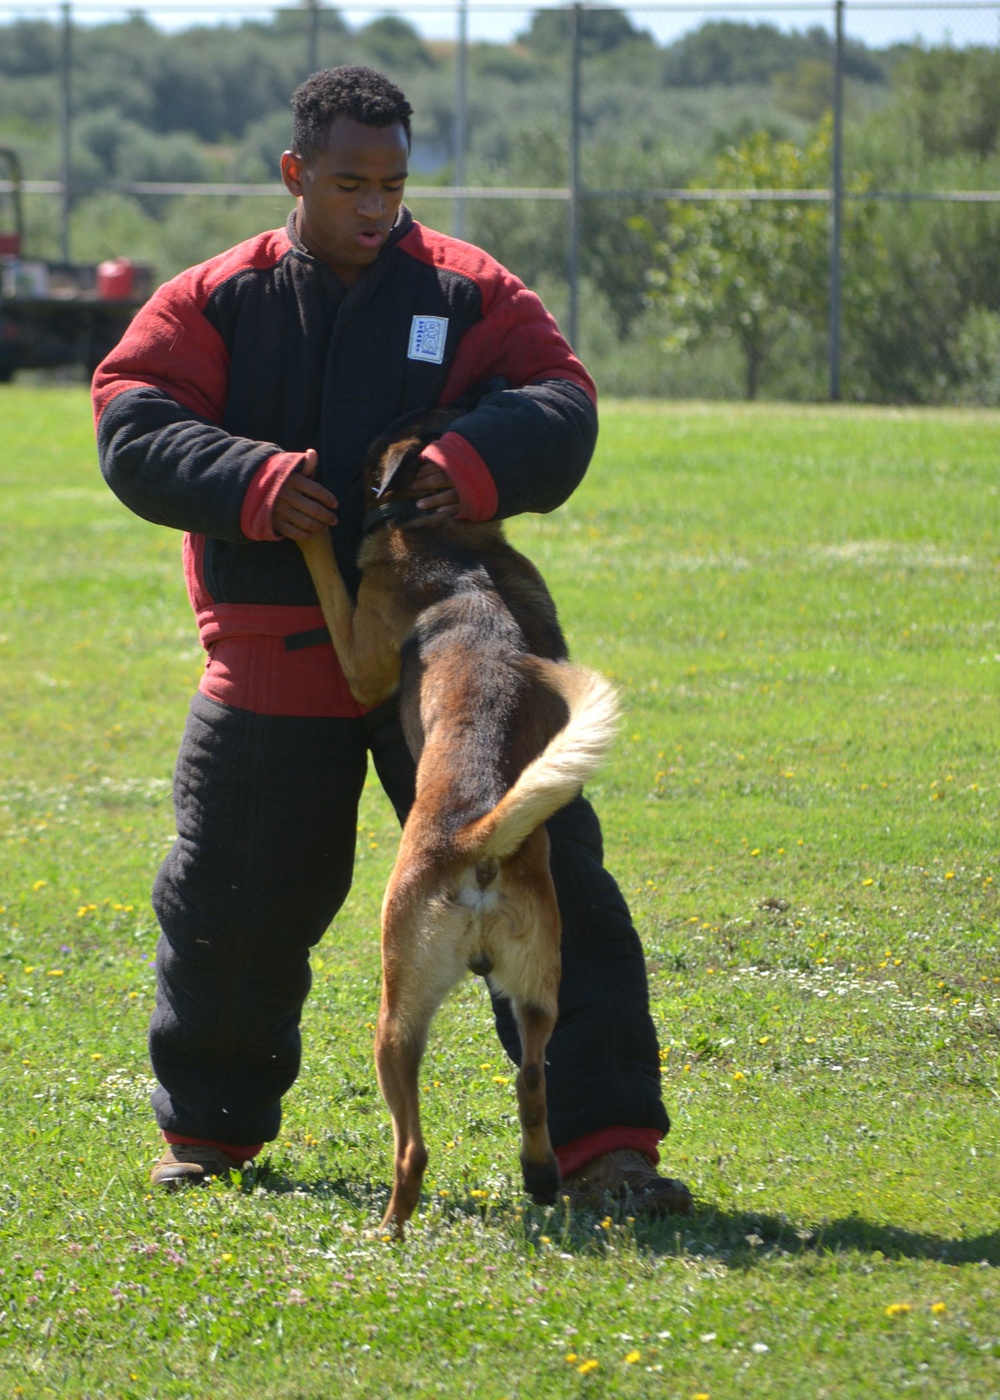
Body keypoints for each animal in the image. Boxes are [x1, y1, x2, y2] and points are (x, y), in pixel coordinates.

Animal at [295, 408, 619, 1237]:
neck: (450, 543)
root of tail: (477, 837)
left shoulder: (360, 658)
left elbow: (328, 578)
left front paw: (305, 520)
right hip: (538, 990)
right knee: (533, 1079)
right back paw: (539, 1175)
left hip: (395, 1016)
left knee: (412, 1148)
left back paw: (390, 1229)